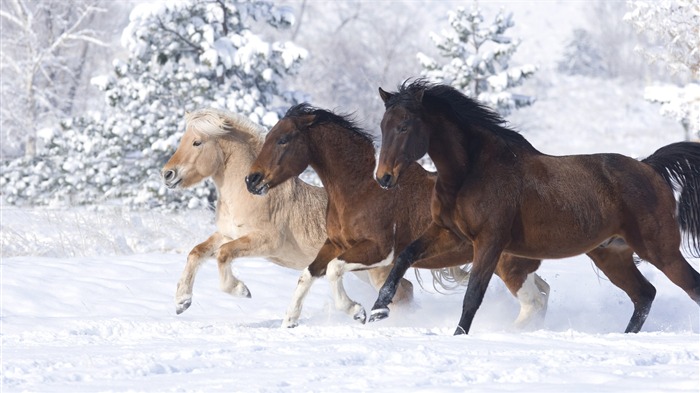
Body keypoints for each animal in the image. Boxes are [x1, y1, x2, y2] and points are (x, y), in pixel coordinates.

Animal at [162, 105, 416, 314]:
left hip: (376, 270)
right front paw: (182, 301)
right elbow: (196, 252)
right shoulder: (227, 234)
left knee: (403, 292)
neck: (248, 196)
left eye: (197, 142)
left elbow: (223, 254)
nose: (167, 174)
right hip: (363, 270)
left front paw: (241, 290)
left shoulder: (266, 241)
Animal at [247, 103, 552, 328]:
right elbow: (307, 274)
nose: (252, 180)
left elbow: (334, 270)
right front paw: (289, 321)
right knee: (543, 292)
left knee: (534, 302)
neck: (361, 189)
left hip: (507, 265)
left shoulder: (380, 251)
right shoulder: (335, 244)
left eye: (283, 140)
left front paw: (358, 311)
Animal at [370, 79, 700, 334]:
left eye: (404, 126)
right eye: (383, 125)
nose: (383, 178)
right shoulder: (448, 232)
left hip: (660, 250)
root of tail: (649, 167)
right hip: (612, 255)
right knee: (644, 295)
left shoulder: (490, 242)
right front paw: (377, 311)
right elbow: (404, 258)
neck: (471, 171)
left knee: (689, 287)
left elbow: (472, 295)